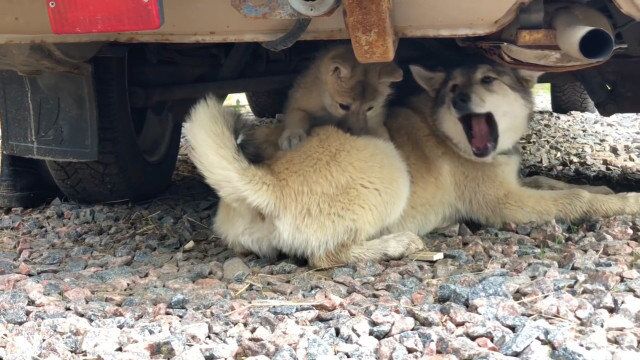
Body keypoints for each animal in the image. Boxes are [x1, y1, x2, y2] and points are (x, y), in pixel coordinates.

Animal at [186, 62, 640, 268]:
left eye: (489, 79)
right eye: (452, 88)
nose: (459, 99)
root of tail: (262, 181)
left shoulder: (516, 182)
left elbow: (552, 182)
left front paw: (603, 188)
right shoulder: (507, 203)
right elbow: (574, 199)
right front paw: (625, 201)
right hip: (388, 165)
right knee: (325, 257)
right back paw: (398, 244)